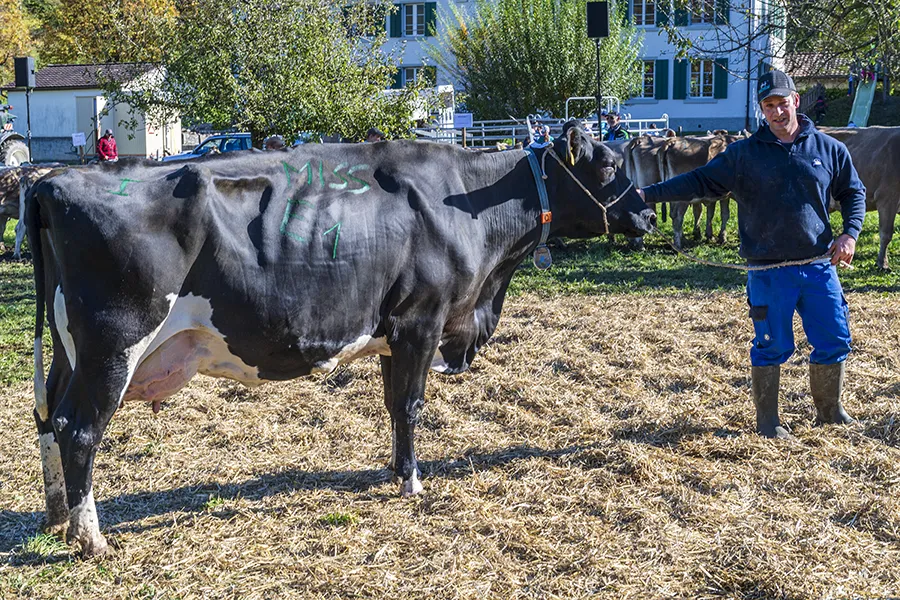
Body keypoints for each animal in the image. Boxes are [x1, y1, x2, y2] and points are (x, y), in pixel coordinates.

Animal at [24, 129, 652, 556]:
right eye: (609, 164)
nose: (647, 214)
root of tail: (55, 180)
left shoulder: (394, 334)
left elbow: (393, 405)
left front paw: (397, 470)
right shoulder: (421, 322)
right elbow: (411, 404)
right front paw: (412, 484)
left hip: (68, 347)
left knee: (48, 415)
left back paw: (57, 517)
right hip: (114, 343)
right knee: (79, 428)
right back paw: (91, 539)